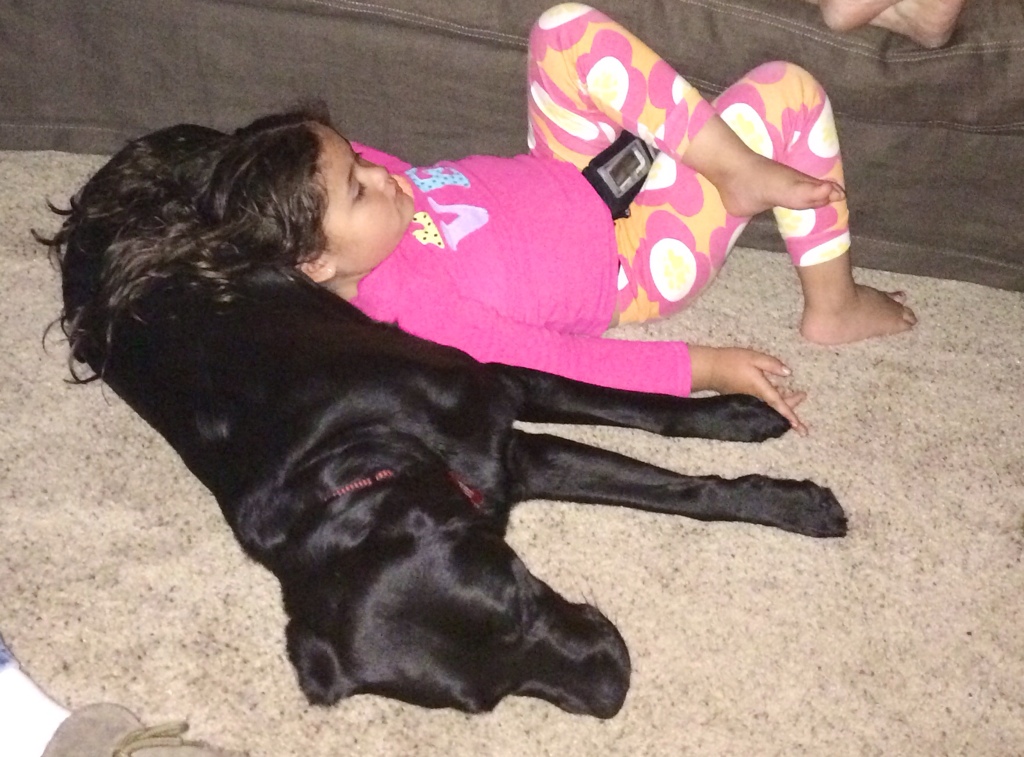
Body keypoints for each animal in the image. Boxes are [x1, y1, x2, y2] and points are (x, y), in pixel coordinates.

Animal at [55, 125, 845, 719]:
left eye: (520, 598)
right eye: (481, 701)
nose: (613, 692)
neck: (342, 466)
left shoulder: (498, 387)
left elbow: (656, 435)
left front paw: (754, 436)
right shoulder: (512, 451)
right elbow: (664, 482)